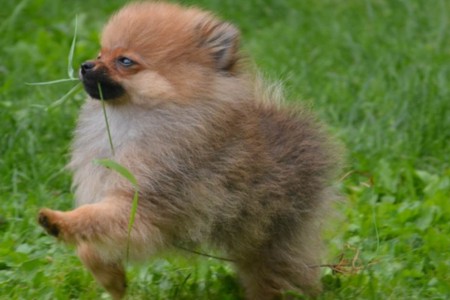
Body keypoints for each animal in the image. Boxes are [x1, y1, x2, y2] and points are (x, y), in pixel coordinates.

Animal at [38, 2, 340, 300]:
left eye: (125, 61)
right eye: (101, 53)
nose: (85, 65)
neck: (130, 119)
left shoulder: (144, 203)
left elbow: (93, 217)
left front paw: (58, 220)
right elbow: (89, 245)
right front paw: (112, 281)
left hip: (276, 239)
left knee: (281, 274)